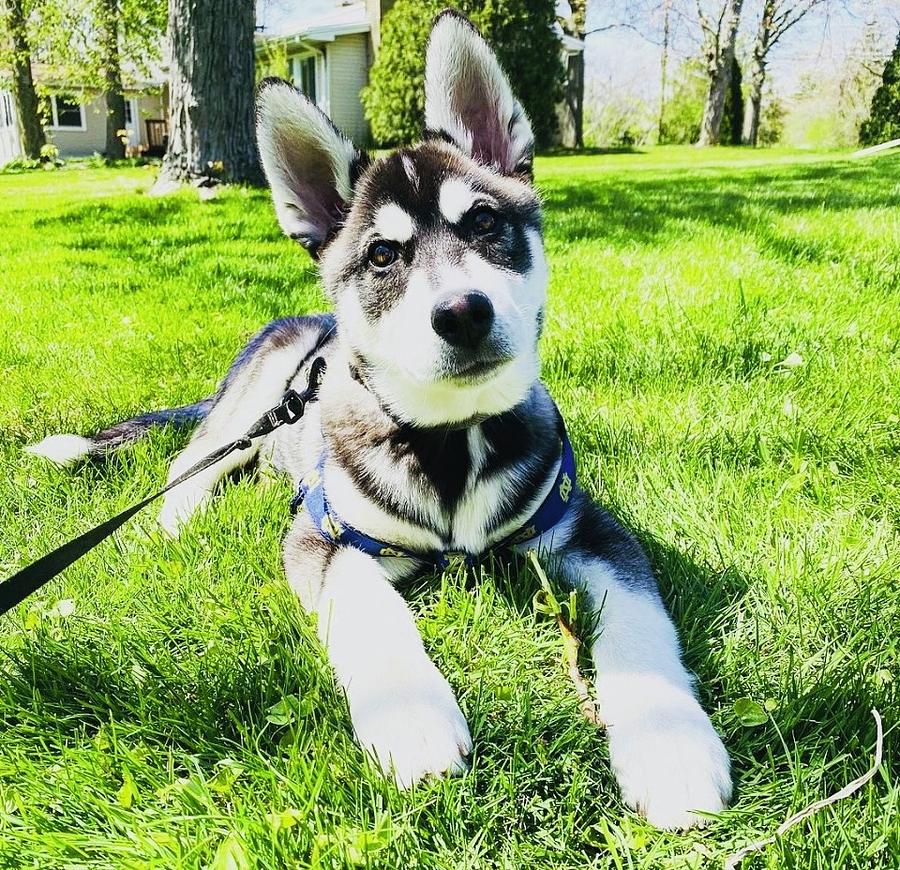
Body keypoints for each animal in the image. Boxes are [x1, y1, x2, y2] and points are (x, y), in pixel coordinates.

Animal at [26, 11, 732, 832]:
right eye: (384, 254)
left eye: (485, 221)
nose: (461, 313)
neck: (452, 439)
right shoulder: (323, 537)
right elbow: (370, 608)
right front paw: (412, 719)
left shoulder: (587, 527)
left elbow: (643, 617)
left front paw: (670, 744)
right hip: (241, 416)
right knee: (188, 465)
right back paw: (171, 526)